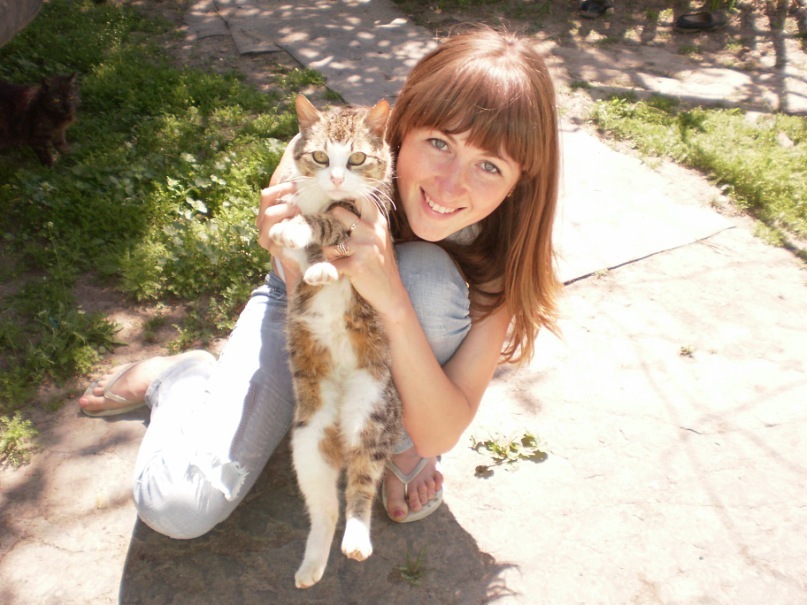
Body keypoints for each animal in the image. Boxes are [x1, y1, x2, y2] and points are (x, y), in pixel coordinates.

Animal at [269, 94, 402, 589]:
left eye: (358, 158)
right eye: (321, 156)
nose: (339, 177)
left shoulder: (368, 215)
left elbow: (328, 225)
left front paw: (307, 233)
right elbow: (300, 247)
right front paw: (315, 264)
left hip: (374, 413)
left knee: (361, 486)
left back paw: (358, 540)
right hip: (307, 439)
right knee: (325, 509)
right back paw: (312, 565)